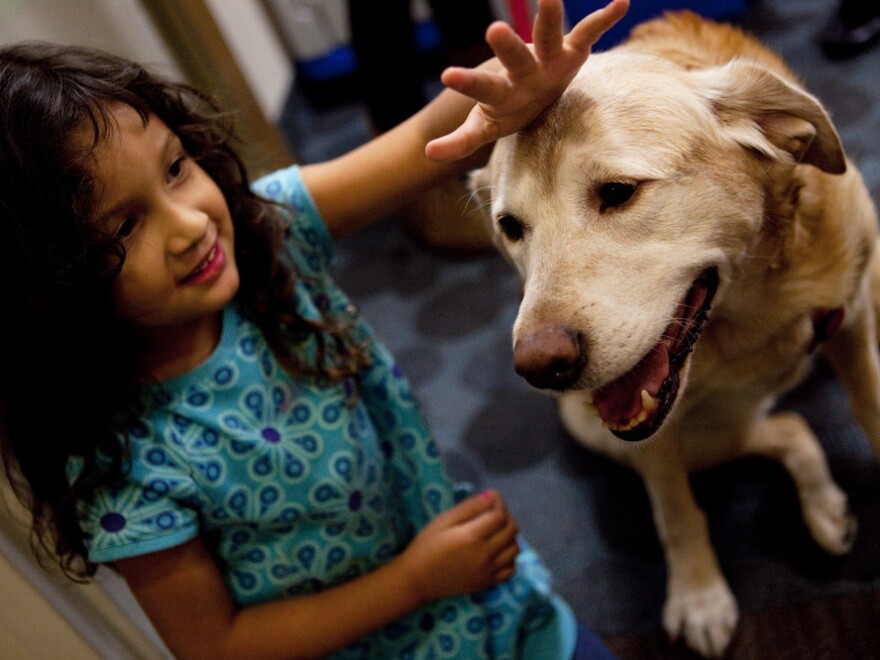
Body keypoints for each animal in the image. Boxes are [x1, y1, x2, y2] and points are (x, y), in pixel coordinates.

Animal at [470, 12, 880, 656]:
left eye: (618, 192)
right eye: (511, 227)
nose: (540, 367)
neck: (750, 308)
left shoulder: (856, 313)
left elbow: (870, 406)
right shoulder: (642, 432)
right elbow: (676, 512)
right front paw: (699, 595)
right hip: (605, 430)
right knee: (787, 428)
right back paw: (825, 507)